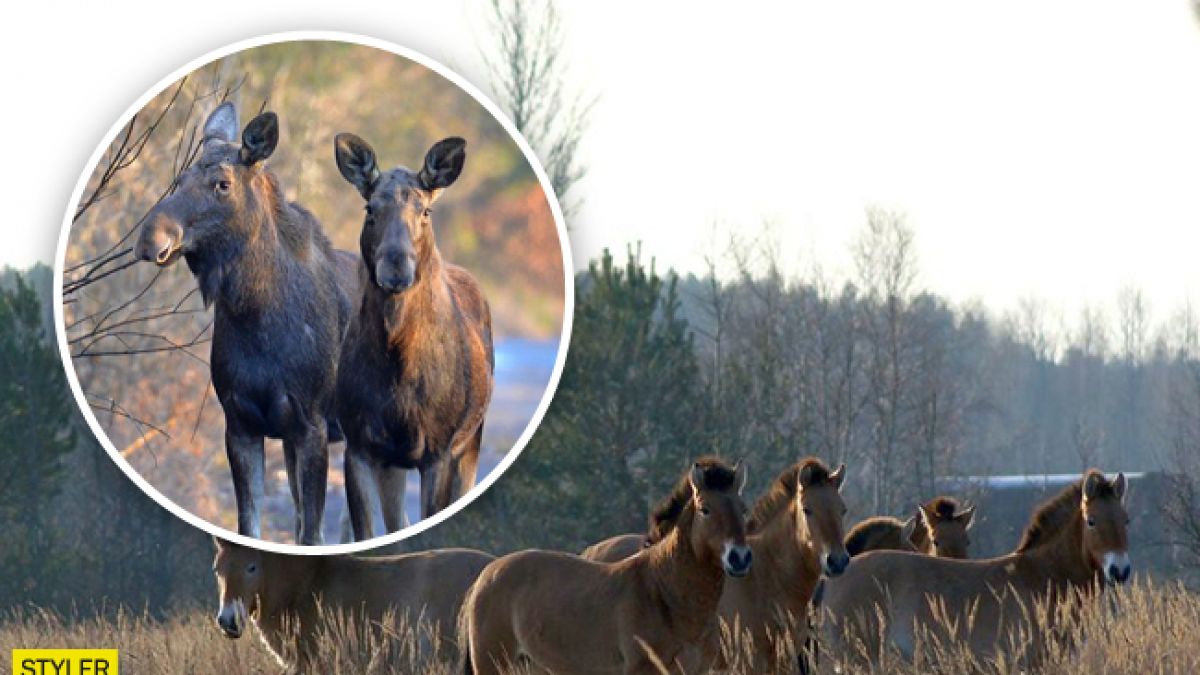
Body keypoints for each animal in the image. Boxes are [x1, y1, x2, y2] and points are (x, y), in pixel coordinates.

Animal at [333, 131, 492, 535]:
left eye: (425, 211)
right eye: (369, 209)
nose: (395, 266)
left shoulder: (438, 449)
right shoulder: (359, 445)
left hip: (471, 440)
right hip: (394, 463)